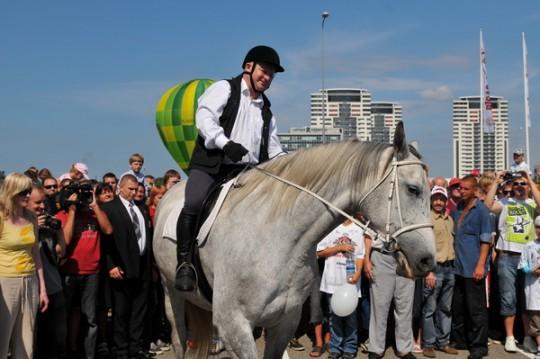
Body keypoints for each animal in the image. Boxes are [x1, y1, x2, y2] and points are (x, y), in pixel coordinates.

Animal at [151, 122, 434, 358]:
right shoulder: (234, 326)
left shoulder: (285, 321)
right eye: (413, 189)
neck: (278, 238)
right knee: (179, 339)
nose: (428, 261)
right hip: (170, 292)